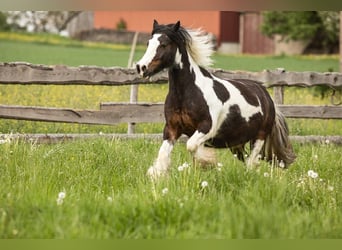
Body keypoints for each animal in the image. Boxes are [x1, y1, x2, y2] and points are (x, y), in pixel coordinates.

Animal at [135, 20, 296, 179]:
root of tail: (266, 96)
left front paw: (207, 161)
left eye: (164, 44)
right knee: (246, 159)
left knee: (252, 161)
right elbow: (163, 154)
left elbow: (192, 146)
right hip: (237, 143)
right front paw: (157, 176)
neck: (187, 93)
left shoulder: (207, 127)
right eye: (149, 43)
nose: (141, 67)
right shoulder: (171, 128)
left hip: (259, 137)